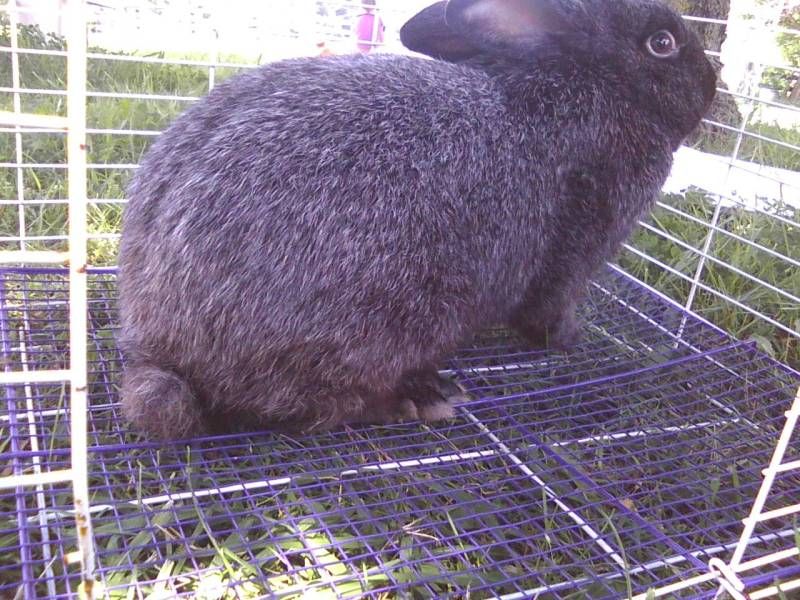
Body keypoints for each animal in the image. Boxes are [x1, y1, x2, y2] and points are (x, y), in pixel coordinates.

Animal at [117, 0, 716, 441]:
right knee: (308, 406)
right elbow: (548, 309)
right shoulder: (580, 244)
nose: (712, 87)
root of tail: (162, 349)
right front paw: (573, 339)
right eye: (662, 43)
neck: (588, 83)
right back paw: (422, 399)